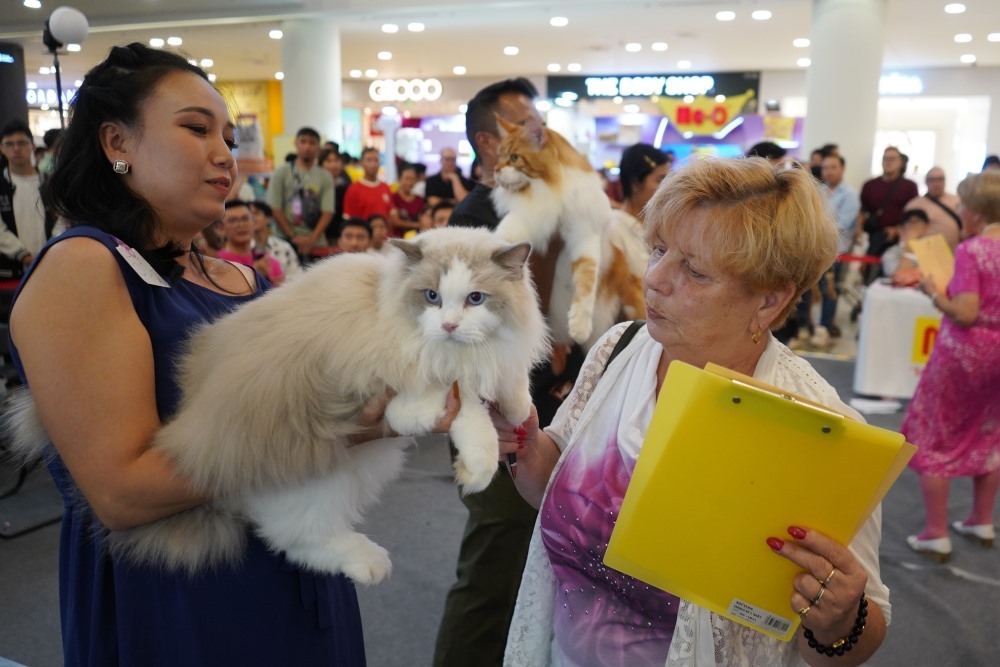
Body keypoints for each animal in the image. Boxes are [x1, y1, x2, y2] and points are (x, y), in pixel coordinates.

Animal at [1, 228, 548, 584]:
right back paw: (367, 563)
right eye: (431, 297)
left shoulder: (492, 358)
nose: (450, 325)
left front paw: (518, 413)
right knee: (293, 537)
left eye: (476, 299)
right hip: (321, 475)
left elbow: (503, 388)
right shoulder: (401, 380)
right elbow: (456, 408)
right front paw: (476, 465)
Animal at [492, 114, 648, 350]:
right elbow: (502, 237)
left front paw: (580, 324)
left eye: (514, 157)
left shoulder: (584, 236)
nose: (496, 169)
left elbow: (586, 281)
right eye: (499, 156)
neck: (553, 190)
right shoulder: (526, 218)